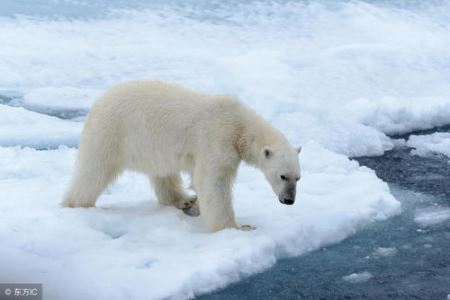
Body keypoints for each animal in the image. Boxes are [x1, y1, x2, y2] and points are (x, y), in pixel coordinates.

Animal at [61, 81, 300, 233]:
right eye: (282, 176)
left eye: (297, 178)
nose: (289, 200)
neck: (240, 127)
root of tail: (97, 103)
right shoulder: (216, 140)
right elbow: (213, 183)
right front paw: (238, 227)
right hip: (111, 132)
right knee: (94, 171)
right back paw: (75, 204)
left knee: (164, 174)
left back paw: (185, 199)